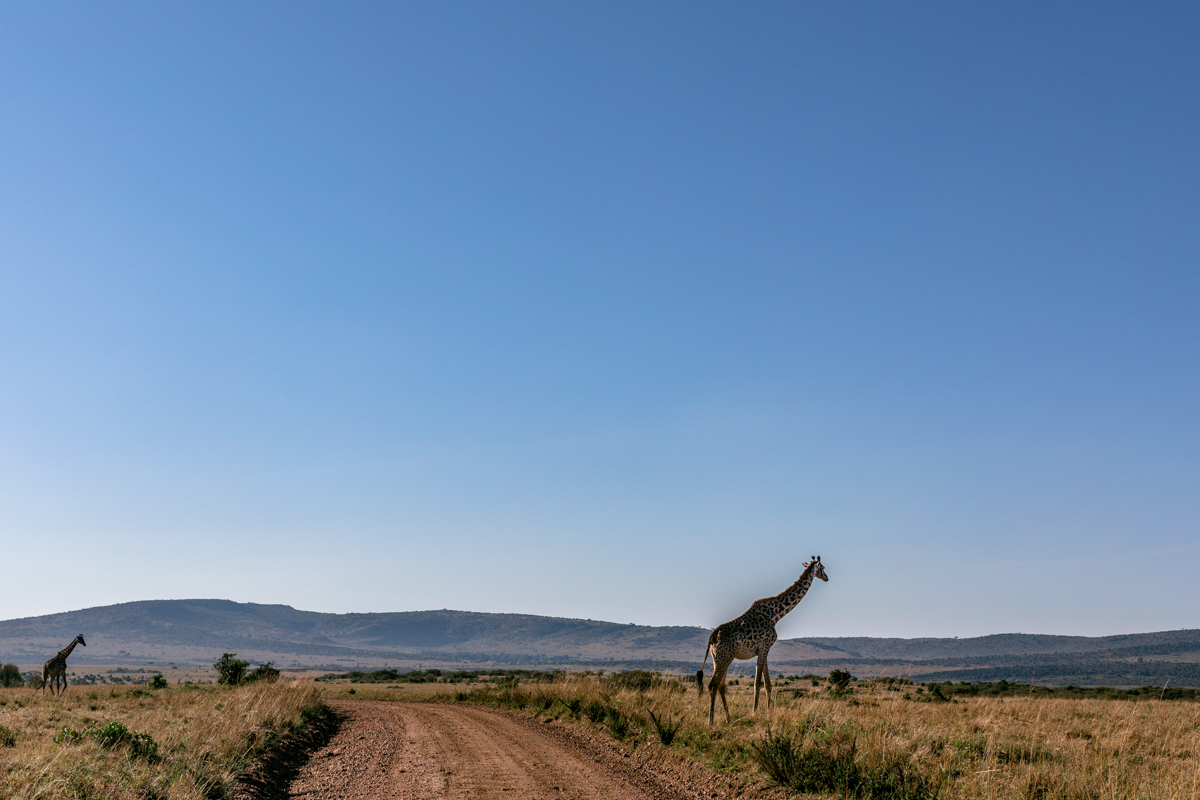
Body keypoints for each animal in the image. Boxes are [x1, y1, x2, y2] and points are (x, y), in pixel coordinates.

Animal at [700, 556, 830, 724]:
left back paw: (729, 718)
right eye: (823, 568)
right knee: (712, 685)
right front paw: (754, 712)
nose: (827, 578)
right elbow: (757, 683)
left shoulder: (764, 649)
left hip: (720, 659)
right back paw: (710, 721)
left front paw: (770, 712)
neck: (776, 615)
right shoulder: (764, 646)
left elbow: (768, 683)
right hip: (724, 658)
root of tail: (711, 638)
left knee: (720, 685)